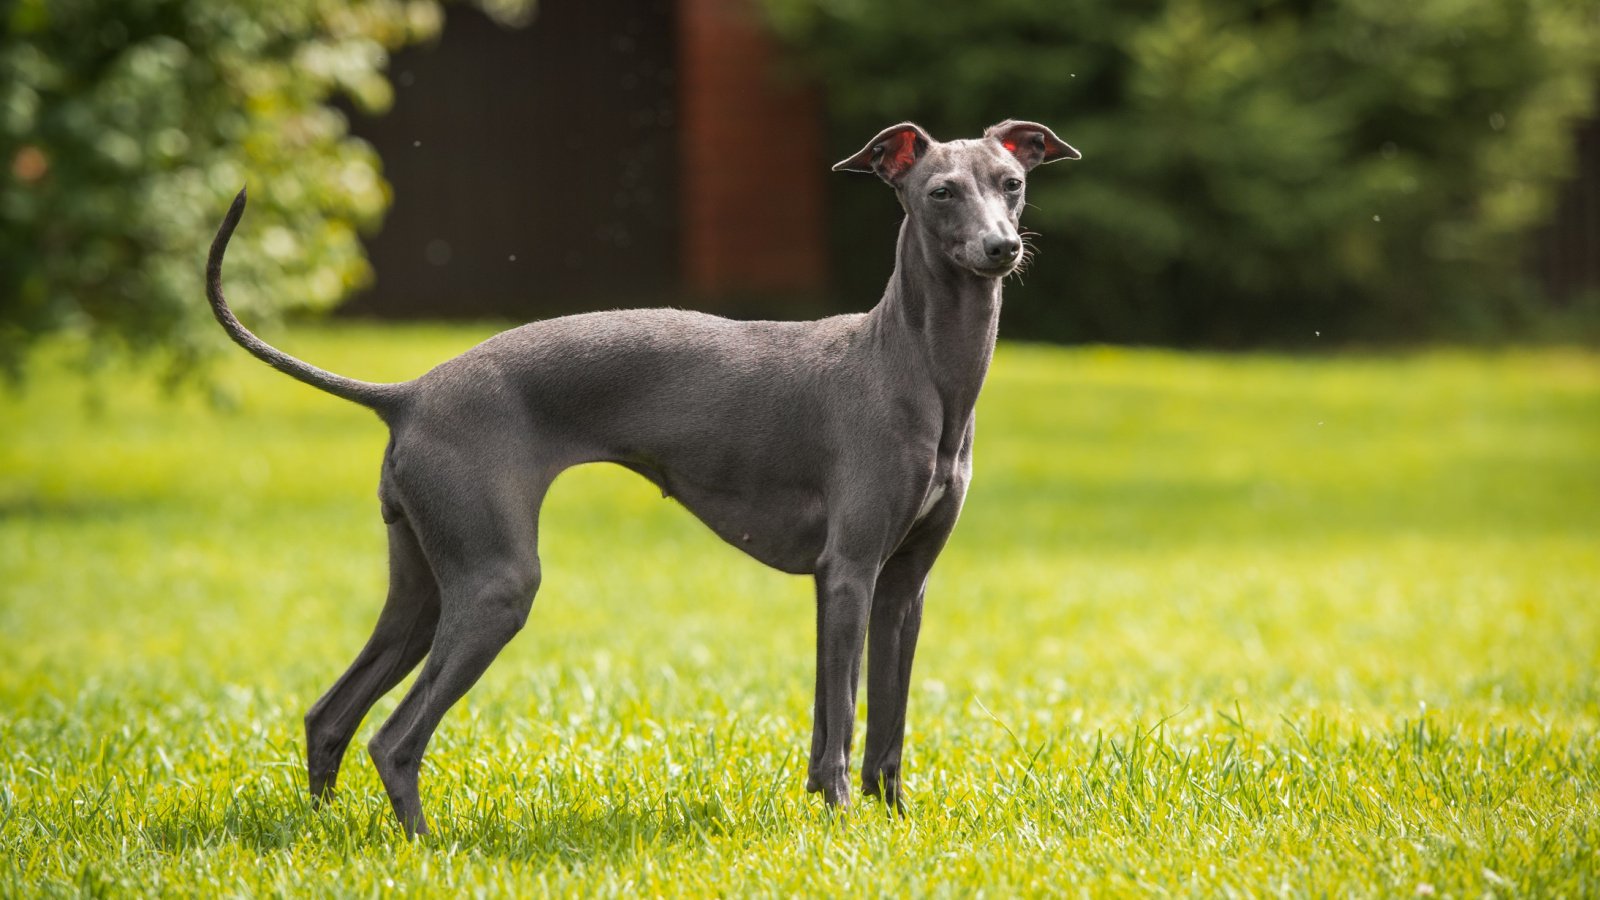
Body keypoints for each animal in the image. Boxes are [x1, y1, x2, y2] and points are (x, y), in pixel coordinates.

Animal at [200, 119, 1075, 832]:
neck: (912, 366)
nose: (1002, 249)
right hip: (495, 586)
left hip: (423, 586)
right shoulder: (849, 573)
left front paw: (892, 824)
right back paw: (424, 846)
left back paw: (325, 831)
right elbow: (841, 721)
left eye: (1012, 182)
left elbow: (883, 728)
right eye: (941, 192)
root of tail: (409, 393)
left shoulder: (903, 588)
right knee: (393, 737)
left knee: (331, 715)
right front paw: (840, 823)